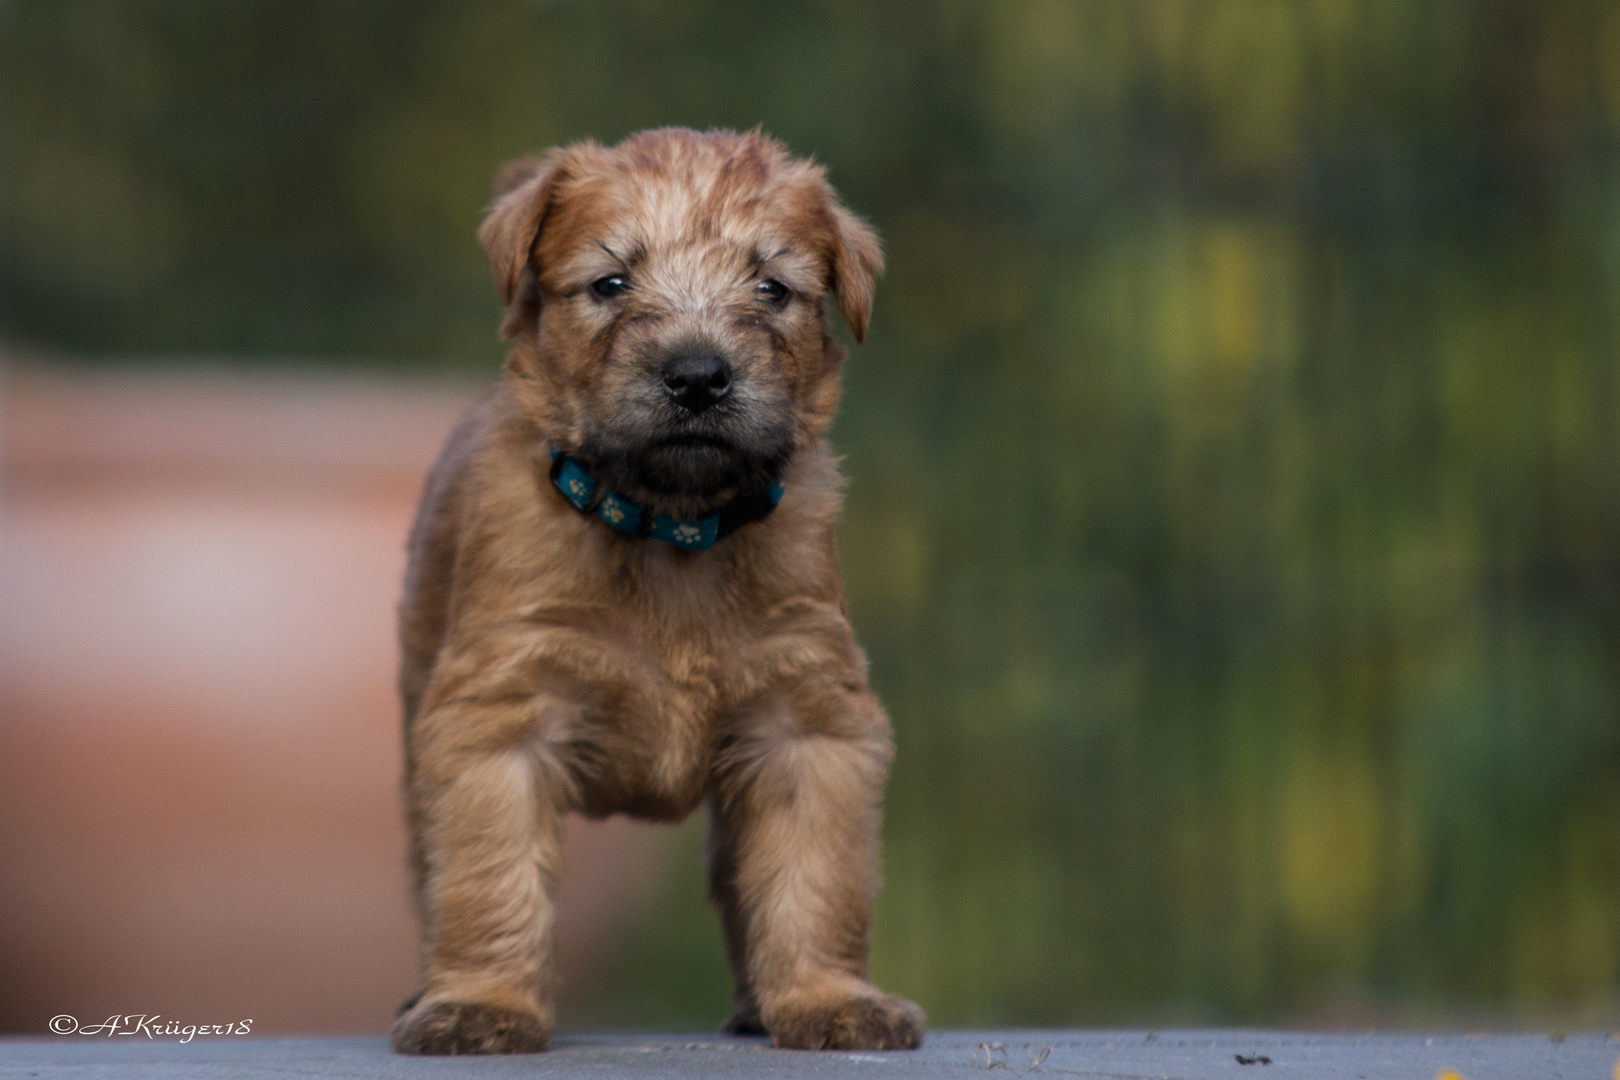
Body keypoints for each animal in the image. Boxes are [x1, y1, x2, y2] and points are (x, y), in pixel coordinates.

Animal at [393, 128, 926, 1055]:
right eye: (610, 282)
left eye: (771, 287)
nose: (699, 375)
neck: (669, 530)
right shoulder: (497, 719)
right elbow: (491, 877)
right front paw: (483, 1005)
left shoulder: (808, 721)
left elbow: (813, 879)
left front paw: (827, 999)